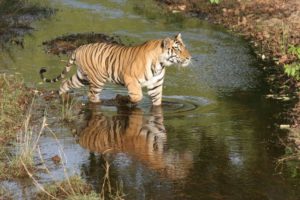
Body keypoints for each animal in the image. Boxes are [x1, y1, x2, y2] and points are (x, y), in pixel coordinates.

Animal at [39, 33, 191, 105]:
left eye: (184, 46)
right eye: (177, 48)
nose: (189, 57)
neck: (161, 64)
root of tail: (79, 48)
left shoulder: (156, 86)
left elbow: (157, 103)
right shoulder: (131, 79)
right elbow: (137, 96)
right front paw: (122, 99)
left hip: (82, 77)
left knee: (66, 82)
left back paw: (62, 94)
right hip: (97, 80)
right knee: (92, 96)